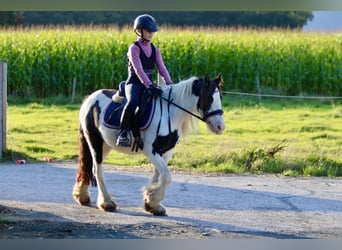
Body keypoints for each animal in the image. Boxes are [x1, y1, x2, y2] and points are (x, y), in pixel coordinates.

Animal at [72, 73, 226, 215]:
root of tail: (89, 99)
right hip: (94, 141)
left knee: (89, 167)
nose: (220, 127)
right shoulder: (150, 150)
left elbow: (159, 176)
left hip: (105, 145)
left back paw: (82, 196)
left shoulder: (166, 151)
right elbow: (167, 176)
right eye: (209, 98)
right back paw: (106, 203)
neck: (169, 113)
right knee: (97, 171)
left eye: (220, 97)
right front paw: (152, 199)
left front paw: (152, 204)